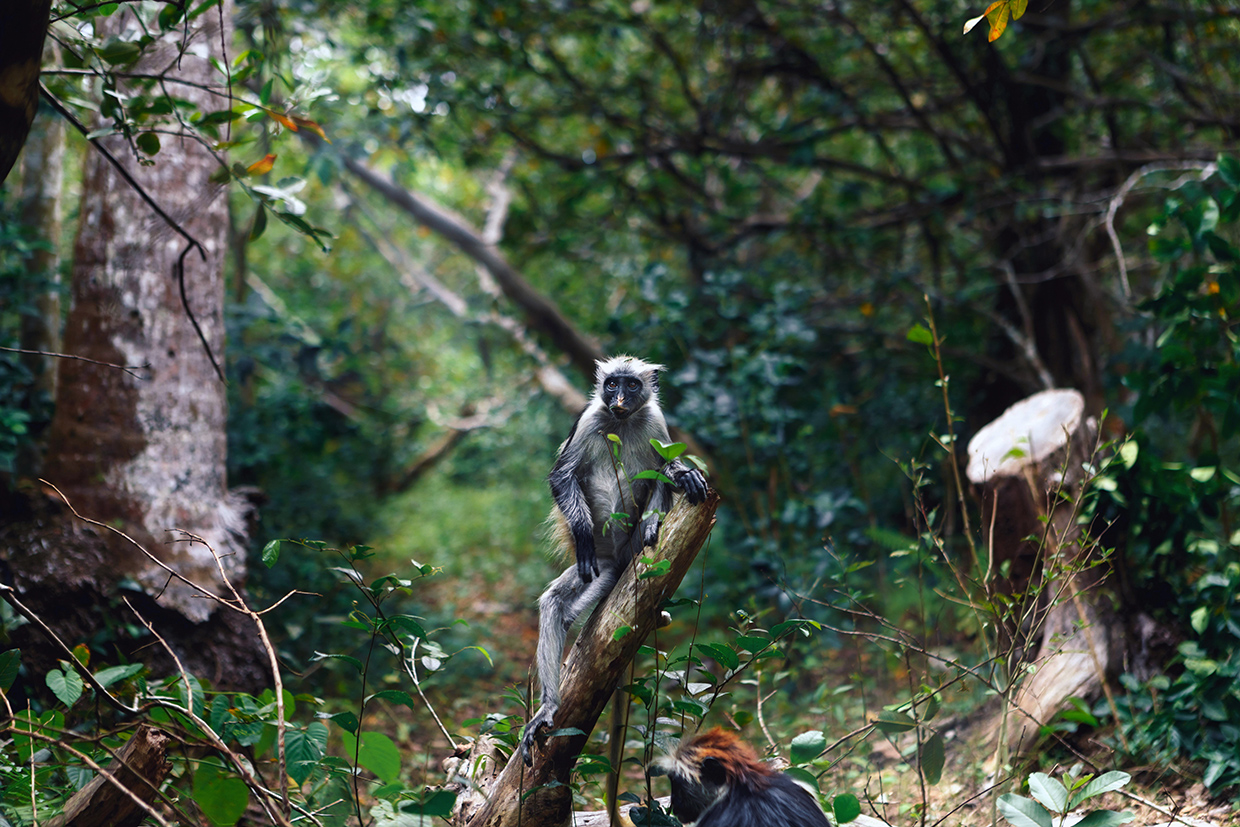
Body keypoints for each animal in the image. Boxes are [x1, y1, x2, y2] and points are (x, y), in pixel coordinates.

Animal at [520, 355, 708, 765]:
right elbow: (562, 476)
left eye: (631, 385)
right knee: (556, 604)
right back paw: (549, 707)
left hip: (629, 548)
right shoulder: (591, 417)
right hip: (599, 564)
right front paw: (581, 532)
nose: (619, 397)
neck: (621, 420)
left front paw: (683, 473)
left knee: (659, 481)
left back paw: (651, 527)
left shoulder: (654, 418)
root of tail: (620, 560)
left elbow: (665, 466)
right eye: (611, 384)